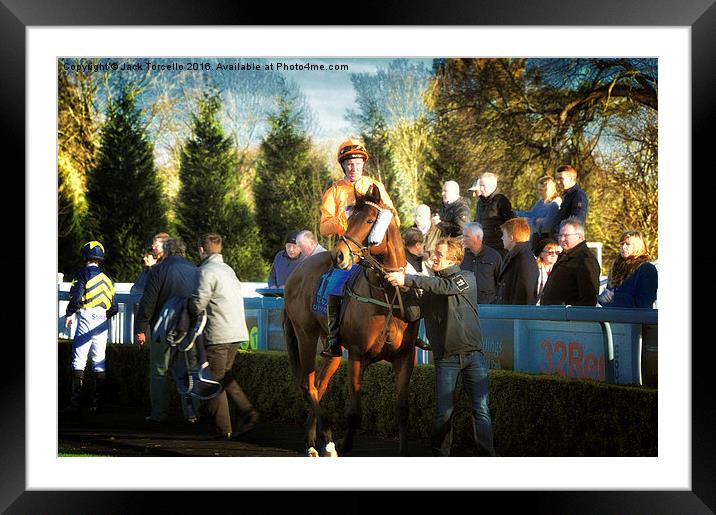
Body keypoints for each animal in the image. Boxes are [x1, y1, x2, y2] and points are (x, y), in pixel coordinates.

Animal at [282, 183, 420, 458]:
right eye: (349, 219)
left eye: (368, 220)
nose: (339, 255)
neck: (386, 294)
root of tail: (296, 272)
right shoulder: (357, 356)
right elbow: (355, 412)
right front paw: (343, 444)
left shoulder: (404, 357)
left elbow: (402, 409)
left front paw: (403, 451)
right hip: (305, 335)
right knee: (308, 385)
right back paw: (324, 440)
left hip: (332, 348)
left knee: (319, 385)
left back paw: (312, 440)